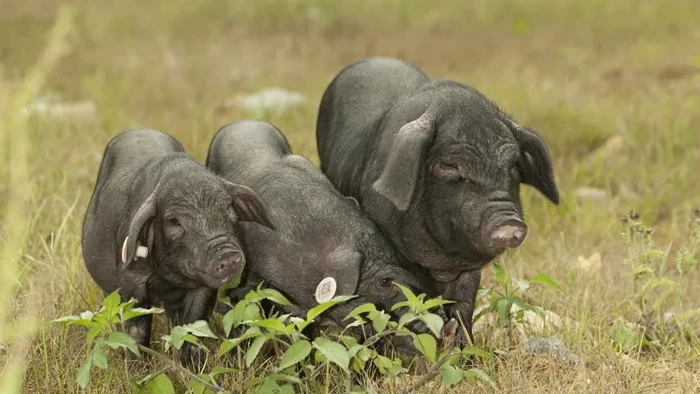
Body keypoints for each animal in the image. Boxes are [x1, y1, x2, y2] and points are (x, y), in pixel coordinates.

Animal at [83, 129, 274, 366]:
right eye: (174, 221)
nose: (227, 254)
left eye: (228, 208)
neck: (170, 278)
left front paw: (194, 367)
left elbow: (193, 324)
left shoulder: (202, 287)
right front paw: (138, 371)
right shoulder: (131, 281)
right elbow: (137, 330)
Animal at [314, 57, 560, 344]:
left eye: (513, 165)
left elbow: (463, 306)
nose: (508, 221)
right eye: (450, 166)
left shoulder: (468, 271)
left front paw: (466, 351)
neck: (442, 260)